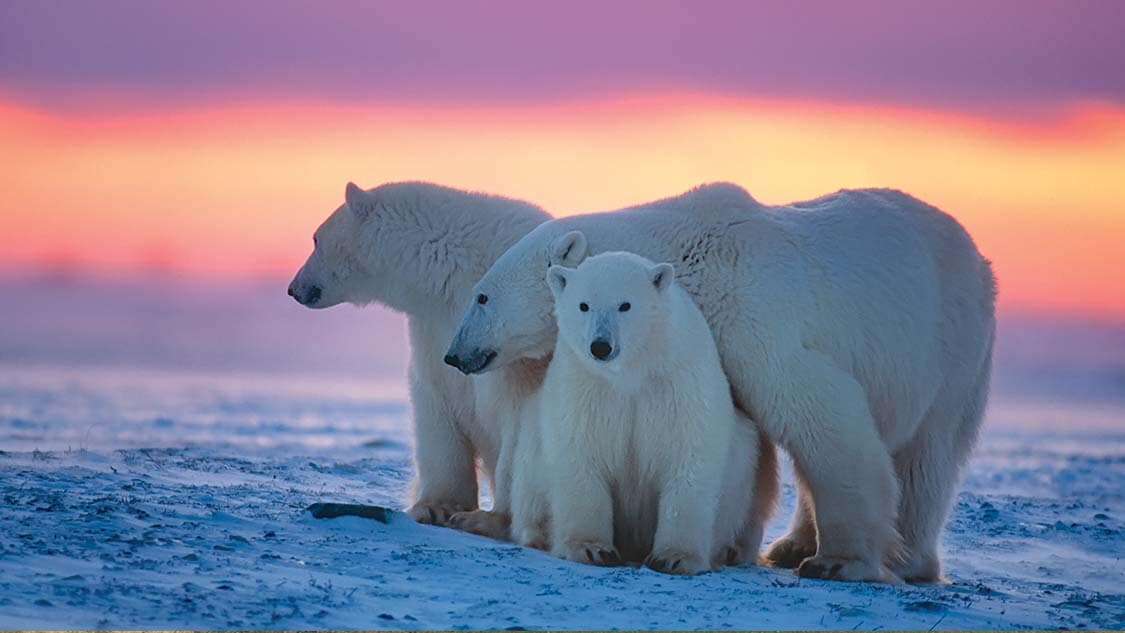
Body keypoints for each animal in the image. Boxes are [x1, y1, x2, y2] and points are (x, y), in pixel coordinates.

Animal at [288, 181, 551, 528]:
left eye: (316, 239)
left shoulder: (515, 338)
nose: (293, 288)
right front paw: (437, 506)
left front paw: (489, 519)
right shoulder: (434, 325)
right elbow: (436, 401)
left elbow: (520, 415)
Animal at [513, 252, 783, 575]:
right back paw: (538, 532)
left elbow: (689, 455)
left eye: (625, 304)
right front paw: (592, 549)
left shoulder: (679, 382)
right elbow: (581, 452)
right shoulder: (585, 385)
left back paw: (728, 550)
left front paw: (674, 557)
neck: (633, 371)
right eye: (584, 305)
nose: (600, 346)